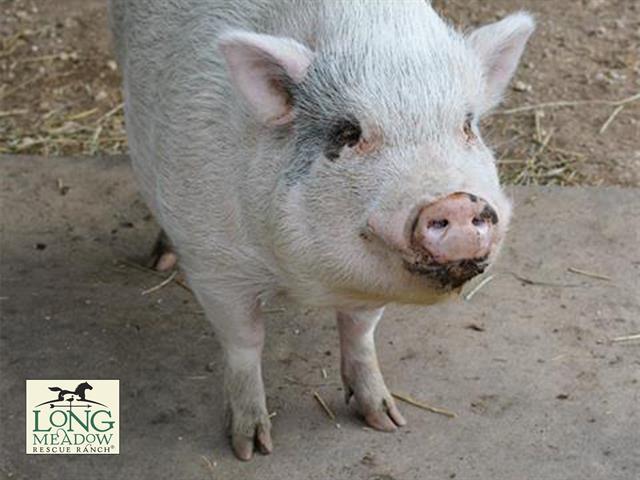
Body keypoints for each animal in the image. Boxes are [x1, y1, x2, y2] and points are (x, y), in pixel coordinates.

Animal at [109, 0, 534, 460]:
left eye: (467, 126)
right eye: (348, 132)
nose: (455, 202)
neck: (303, 281)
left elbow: (361, 332)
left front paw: (387, 420)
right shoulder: (213, 259)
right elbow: (244, 341)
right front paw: (251, 448)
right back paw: (161, 260)